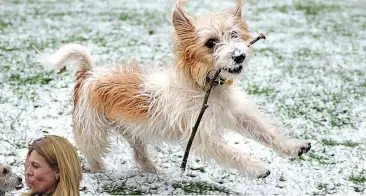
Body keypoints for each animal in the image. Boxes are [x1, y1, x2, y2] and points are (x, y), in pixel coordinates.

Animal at [38, 0, 310, 178]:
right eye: (211, 43)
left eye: (234, 35)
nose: (239, 56)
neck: (204, 85)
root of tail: (89, 74)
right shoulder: (202, 135)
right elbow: (231, 152)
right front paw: (257, 167)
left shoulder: (238, 114)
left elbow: (265, 131)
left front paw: (293, 146)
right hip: (93, 132)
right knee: (93, 154)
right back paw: (101, 171)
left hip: (133, 131)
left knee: (139, 154)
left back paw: (152, 170)